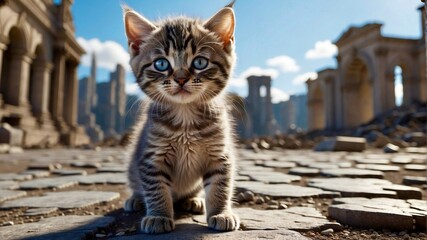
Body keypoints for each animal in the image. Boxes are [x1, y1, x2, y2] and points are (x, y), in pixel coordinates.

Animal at [123, 2, 241, 234]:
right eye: (161, 64)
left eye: (200, 62)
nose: (180, 78)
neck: (185, 117)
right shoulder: (151, 156)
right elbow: (156, 188)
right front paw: (158, 216)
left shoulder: (220, 153)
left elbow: (220, 185)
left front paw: (221, 213)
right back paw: (135, 199)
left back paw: (194, 200)